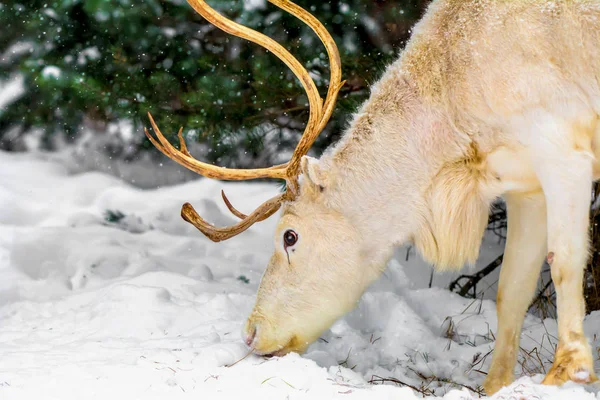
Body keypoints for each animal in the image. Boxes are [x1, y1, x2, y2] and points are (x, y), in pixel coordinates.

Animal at [145, 0, 600, 394]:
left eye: (289, 236)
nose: (251, 333)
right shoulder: (526, 185)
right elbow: (512, 289)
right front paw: (496, 386)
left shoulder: (563, 150)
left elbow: (564, 262)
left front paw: (569, 372)